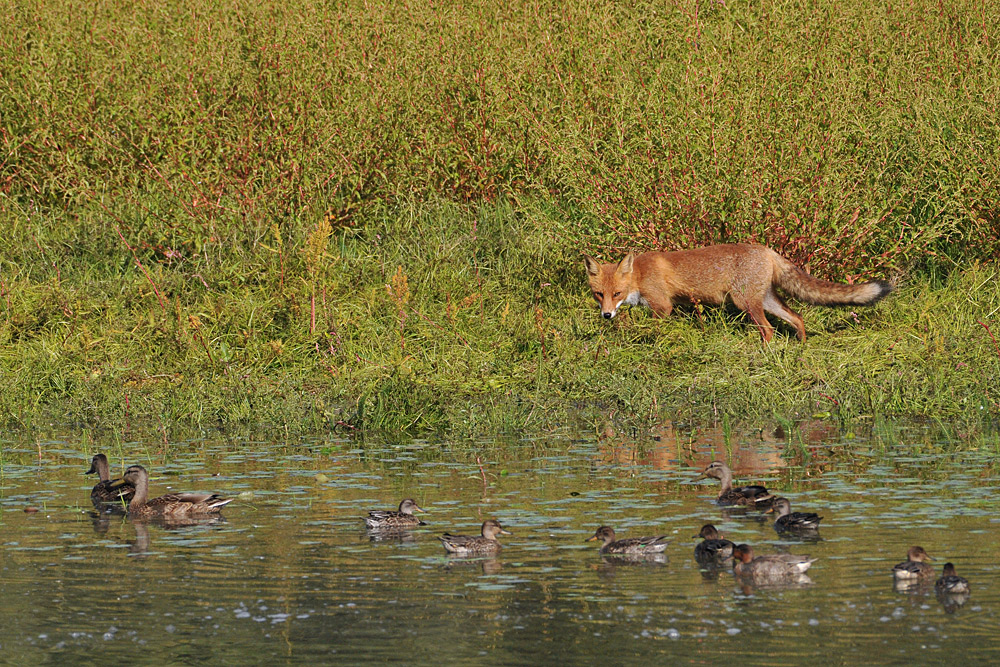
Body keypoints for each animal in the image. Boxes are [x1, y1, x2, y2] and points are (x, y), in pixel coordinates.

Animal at [584, 243, 896, 342]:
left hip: (745, 302)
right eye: (599, 294)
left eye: (617, 293)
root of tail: (766, 249)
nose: (606, 315)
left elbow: (654, 330)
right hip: (765, 300)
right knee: (797, 318)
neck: (639, 276)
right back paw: (801, 347)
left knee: (769, 329)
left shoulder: (663, 307)